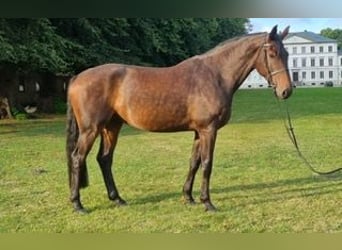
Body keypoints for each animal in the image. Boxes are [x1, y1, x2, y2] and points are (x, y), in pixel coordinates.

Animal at [66, 25, 292, 213]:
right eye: (273, 53)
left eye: (288, 53)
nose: (286, 91)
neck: (215, 75)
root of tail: (77, 78)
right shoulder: (208, 130)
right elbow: (207, 163)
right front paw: (207, 202)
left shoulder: (199, 131)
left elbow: (194, 162)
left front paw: (189, 197)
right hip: (91, 130)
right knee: (78, 158)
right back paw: (78, 204)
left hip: (111, 127)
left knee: (104, 159)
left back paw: (117, 199)